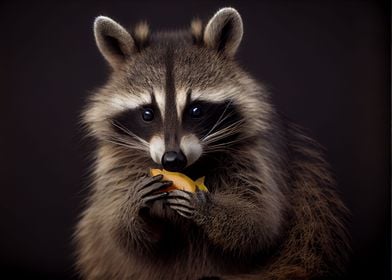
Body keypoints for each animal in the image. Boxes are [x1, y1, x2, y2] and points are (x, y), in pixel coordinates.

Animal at [75, 6, 350, 280]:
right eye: (147, 114)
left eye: (196, 110)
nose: (172, 160)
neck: (190, 168)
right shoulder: (116, 163)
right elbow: (119, 233)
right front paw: (131, 205)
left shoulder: (257, 155)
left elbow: (259, 223)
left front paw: (207, 207)